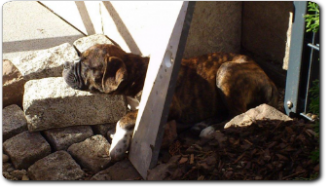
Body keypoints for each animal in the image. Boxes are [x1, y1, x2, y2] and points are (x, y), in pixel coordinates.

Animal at [62, 44, 278, 162]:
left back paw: (208, 129)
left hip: (226, 71)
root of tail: (269, 79)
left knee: (237, 113)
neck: (136, 72)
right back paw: (201, 124)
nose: (65, 66)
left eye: (84, 65)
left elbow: (123, 119)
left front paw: (117, 145)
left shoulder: (167, 107)